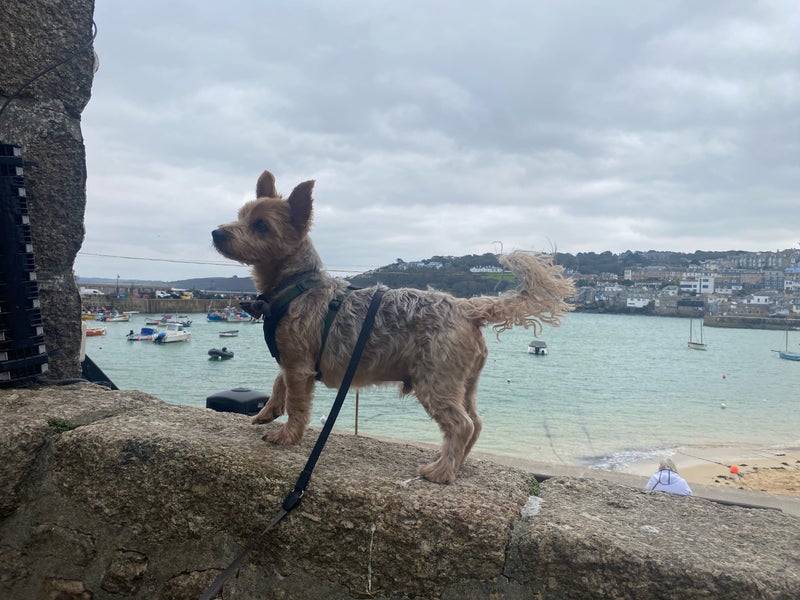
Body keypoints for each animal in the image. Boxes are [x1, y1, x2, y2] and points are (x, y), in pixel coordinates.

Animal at [212, 170, 574, 483]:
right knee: (476, 422)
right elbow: (278, 383)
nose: (217, 232)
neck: (295, 284)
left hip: (435, 380)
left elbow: (297, 402)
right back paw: (456, 464)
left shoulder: (299, 364)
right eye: (241, 215)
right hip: (465, 382)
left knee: (461, 425)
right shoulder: (293, 359)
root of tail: (466, 306)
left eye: (261, 226)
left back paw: (440, 472)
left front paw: (287, 435)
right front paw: (266, 412)